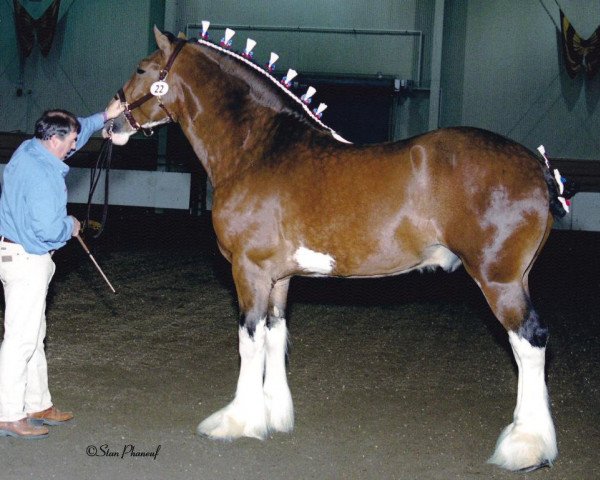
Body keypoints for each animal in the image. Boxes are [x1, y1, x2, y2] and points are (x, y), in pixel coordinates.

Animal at [106, 27, 564, 472]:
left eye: (142, 68)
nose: (110, 121)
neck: (258, 149)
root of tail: (537, 167)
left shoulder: (249, 271)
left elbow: (249, 340)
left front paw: (236, 421)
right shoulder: (278, 278)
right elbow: (275, 335)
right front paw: (273, 415)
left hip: (499, 281)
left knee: (529, 342)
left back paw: (525, 446)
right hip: (516, 279)